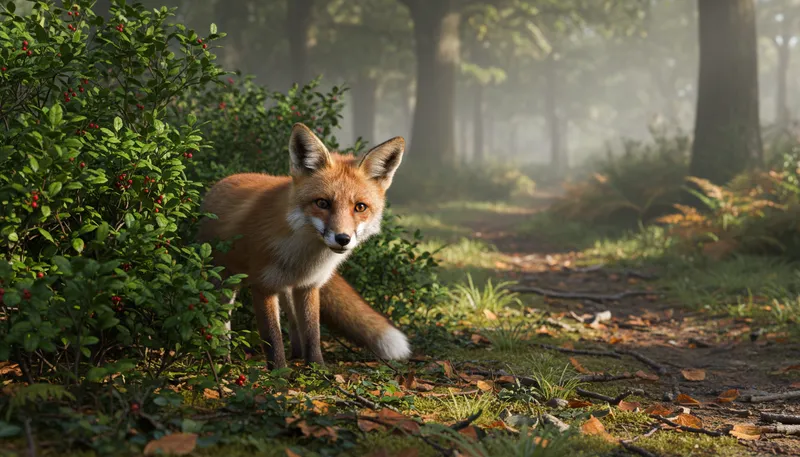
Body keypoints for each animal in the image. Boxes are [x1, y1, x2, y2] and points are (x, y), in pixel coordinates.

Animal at [197, 123, 411, 369]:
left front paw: (318, 369)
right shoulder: (263, 286)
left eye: (360, 207)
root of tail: (224, 180)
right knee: (222, 318)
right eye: (322, 203)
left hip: (287, 290)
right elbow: (272, 337)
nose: (343, 238)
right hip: (223, 280)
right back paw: (223, 357)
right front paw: (279, 373)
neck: (303, 256)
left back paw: (297, 355)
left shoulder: (309, 285)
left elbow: (312, 332)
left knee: (294, 324)